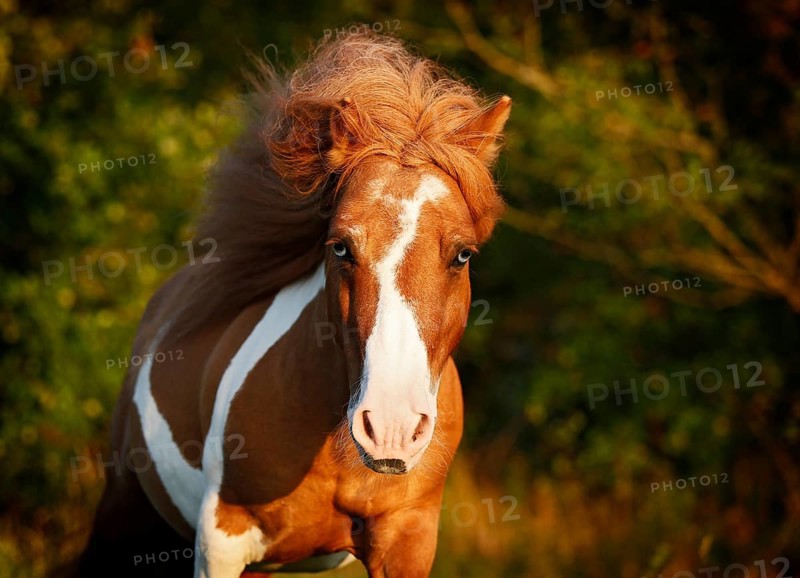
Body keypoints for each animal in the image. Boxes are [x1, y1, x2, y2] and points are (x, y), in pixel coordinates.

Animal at [80, 30, 510, 578]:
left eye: (462, 254)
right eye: (341, 246)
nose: (389, 429)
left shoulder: (407, 539)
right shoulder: (222, 539)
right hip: (123, 514)